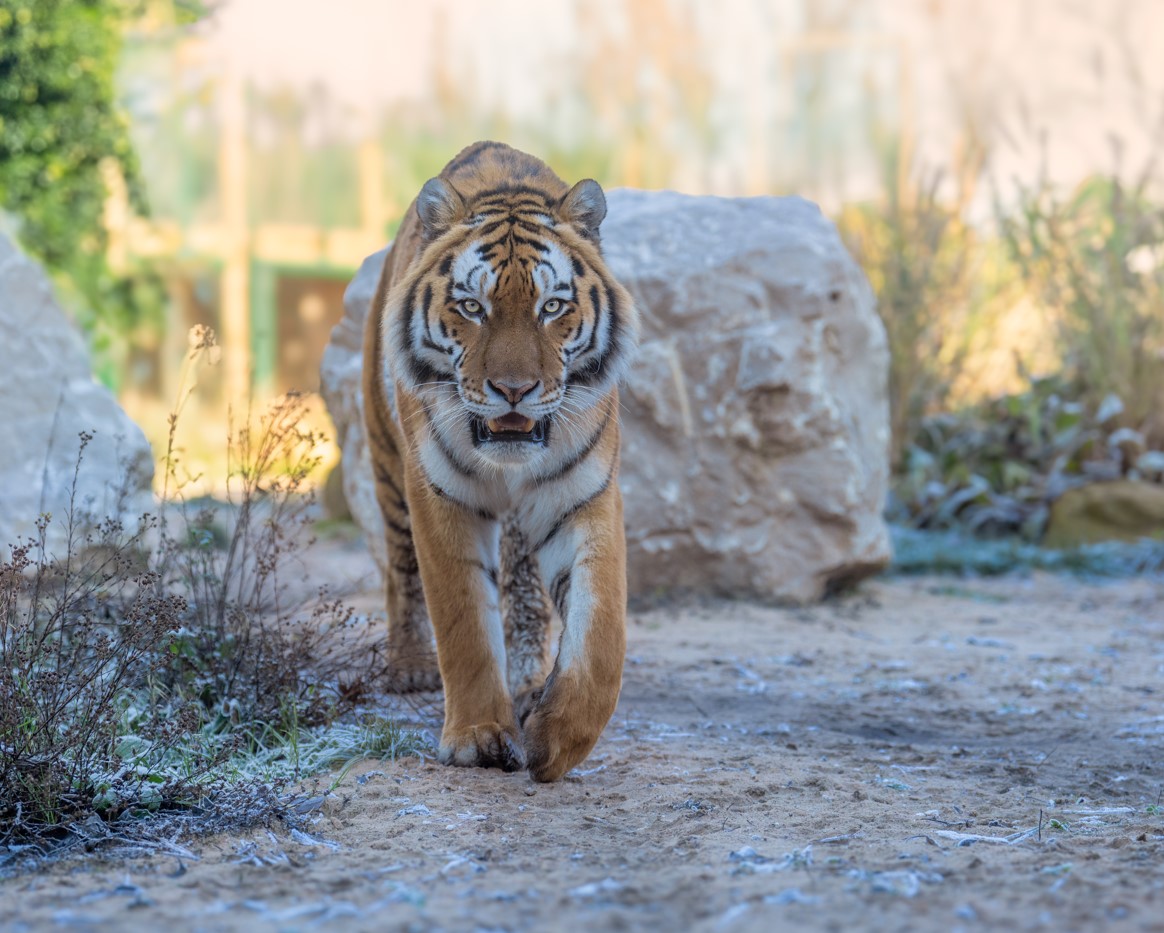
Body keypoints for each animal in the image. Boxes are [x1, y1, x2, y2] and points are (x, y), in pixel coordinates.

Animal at [360, 140, 642, 777]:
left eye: (552, 306)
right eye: (472, 306)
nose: (514, 390)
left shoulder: (584, 494)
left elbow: (601, 636)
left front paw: (558, 738)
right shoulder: (439, 494)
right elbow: (462, 620)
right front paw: (480, 738)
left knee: (524, 591)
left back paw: (528, 681)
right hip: (388, 464)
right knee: (400, 569)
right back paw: (411, 666)